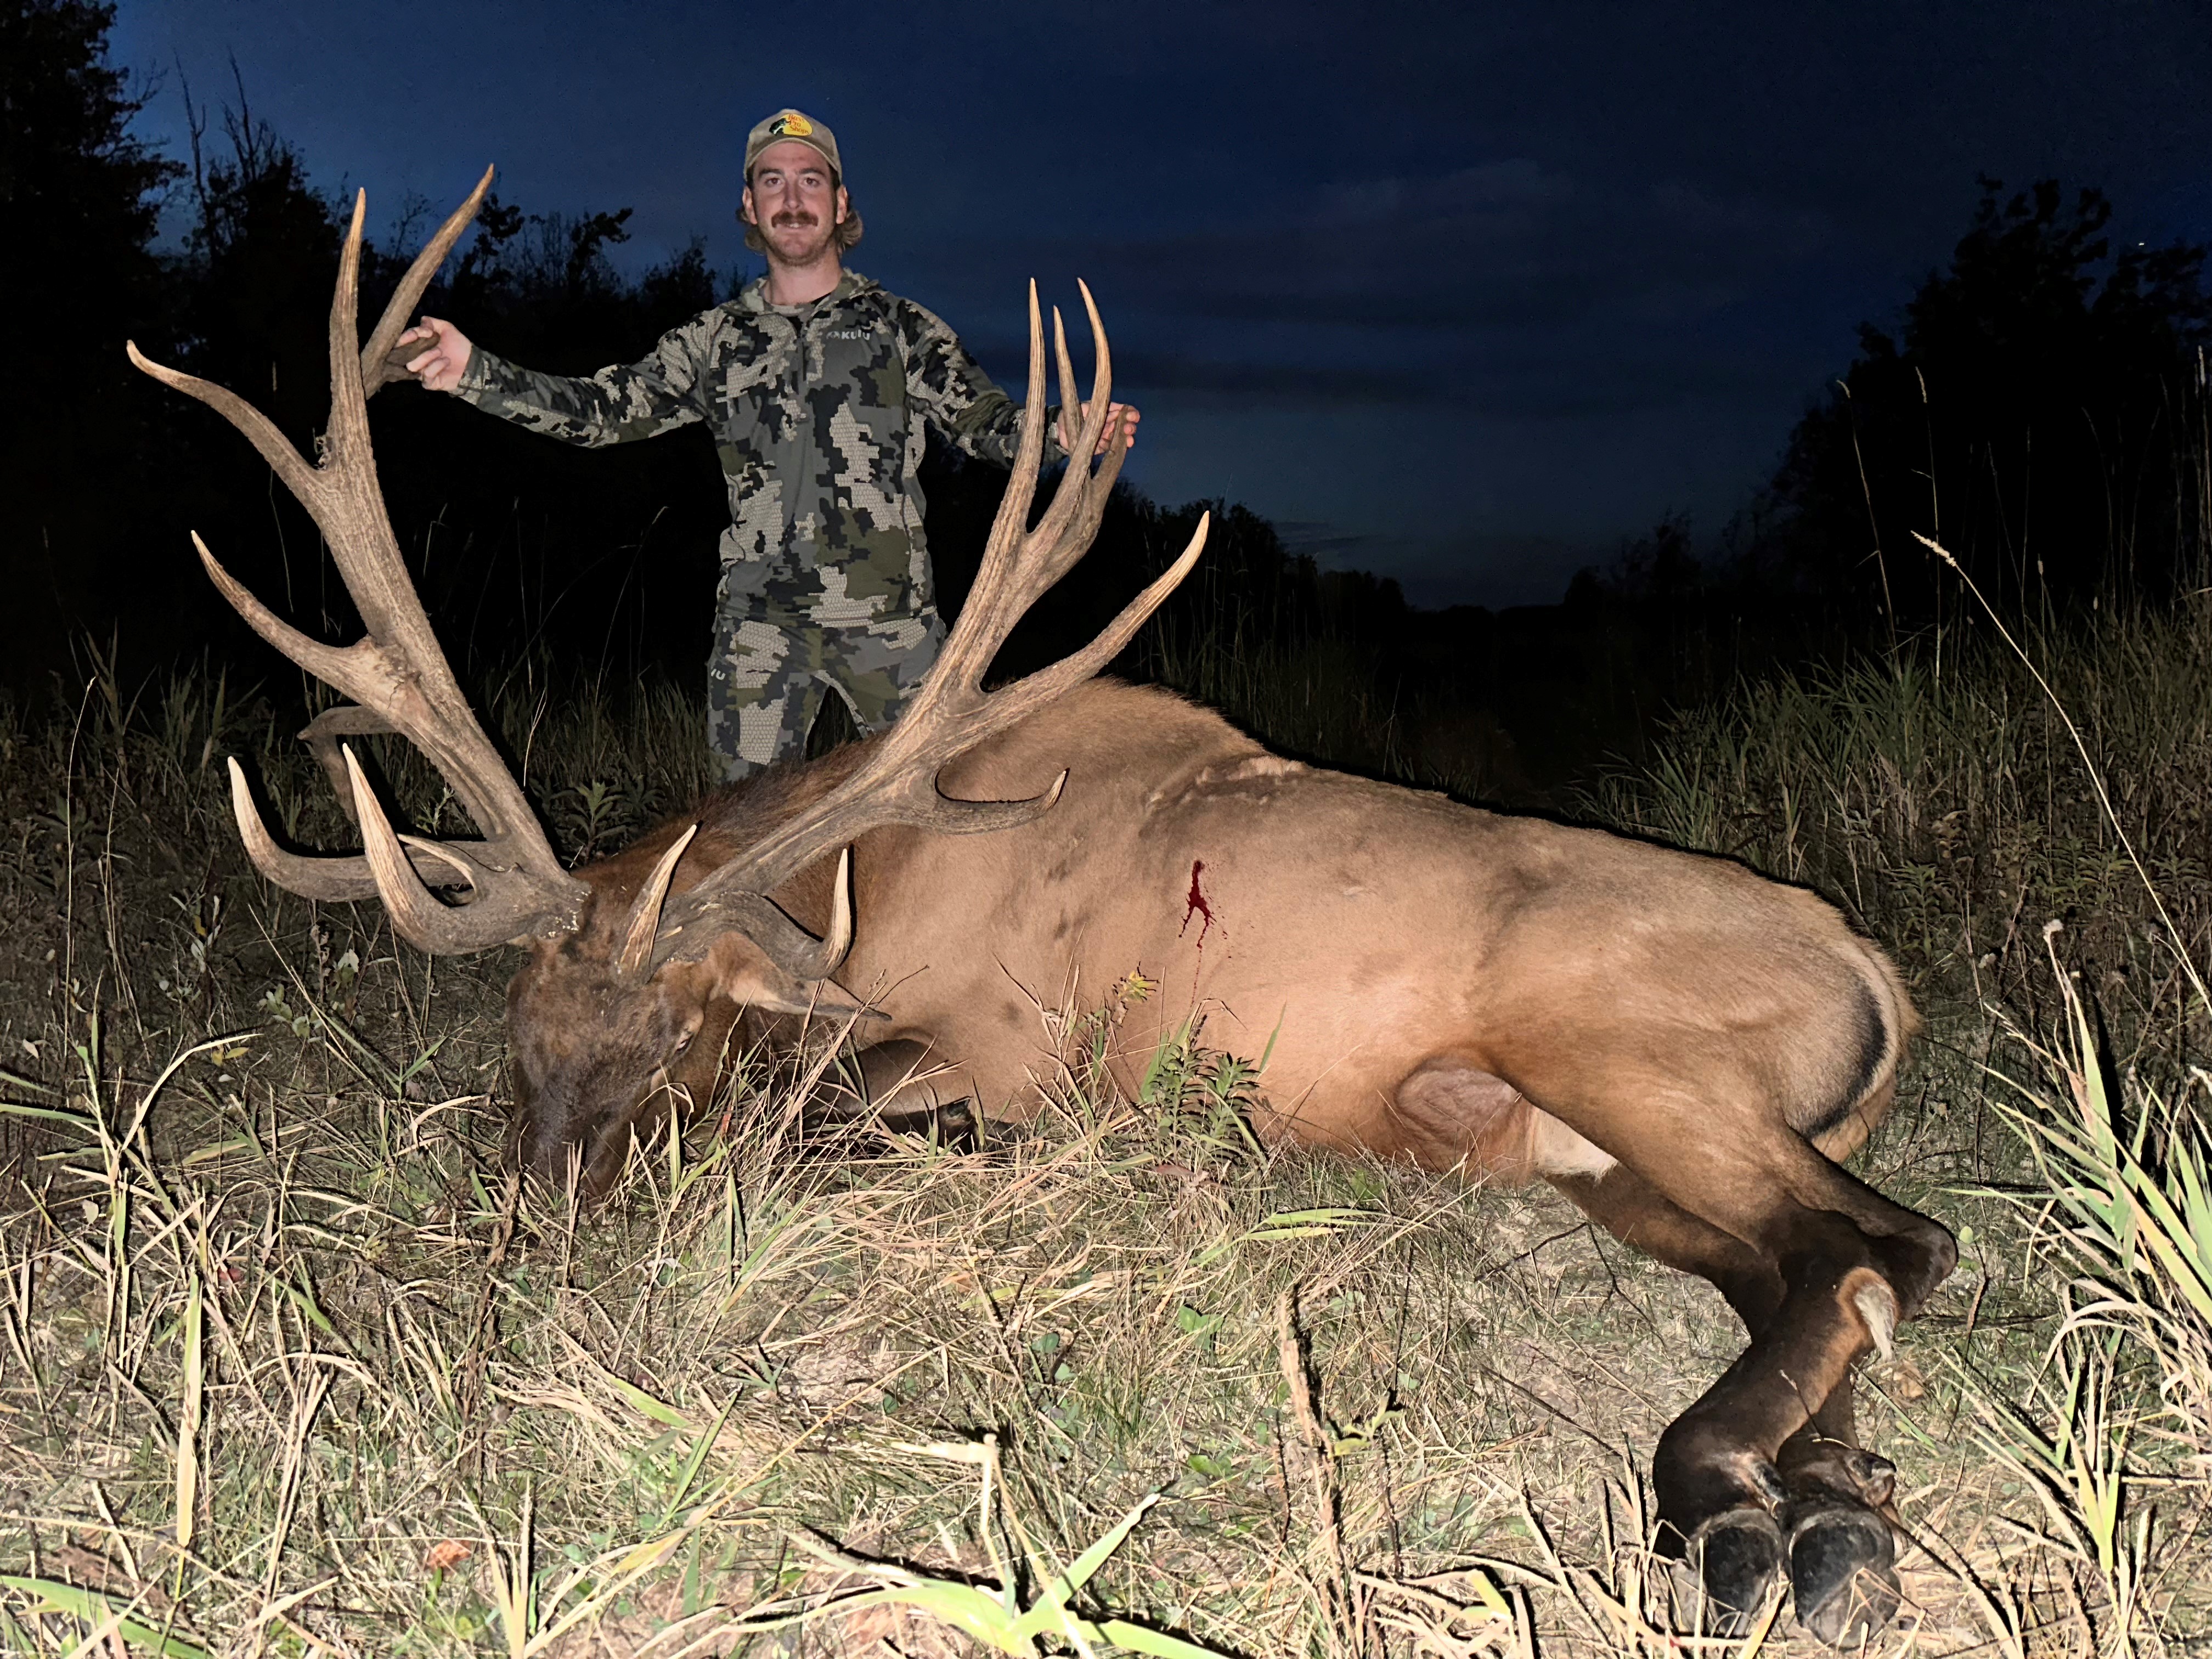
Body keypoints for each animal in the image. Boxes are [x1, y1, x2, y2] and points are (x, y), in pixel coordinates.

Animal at [131, 172, 1956, 1646]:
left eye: (673, 1039)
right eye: (519, 1034)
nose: (541, 1236)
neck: (855, 890)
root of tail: (1876, 969)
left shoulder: (1011, 1045)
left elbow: (825, 1116)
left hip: (1625, 1047)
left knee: (1882, 1243)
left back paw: (1749, 1522)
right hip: (1585, 1151)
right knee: (1810, 1274)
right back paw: (1834, 1505)